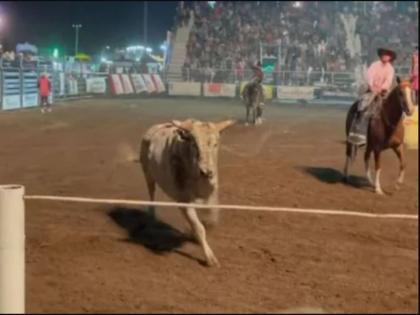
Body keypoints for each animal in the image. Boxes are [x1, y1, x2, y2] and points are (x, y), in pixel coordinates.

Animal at [139, 118, 235, 266]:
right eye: (194, 144)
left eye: (215, 144)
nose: (206, 172)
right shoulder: (184, 202)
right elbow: (199, 228)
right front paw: (210, 257)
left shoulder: (211, 194)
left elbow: (212, 217)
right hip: (148, 173)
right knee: (151, 193)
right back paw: (151, 215)